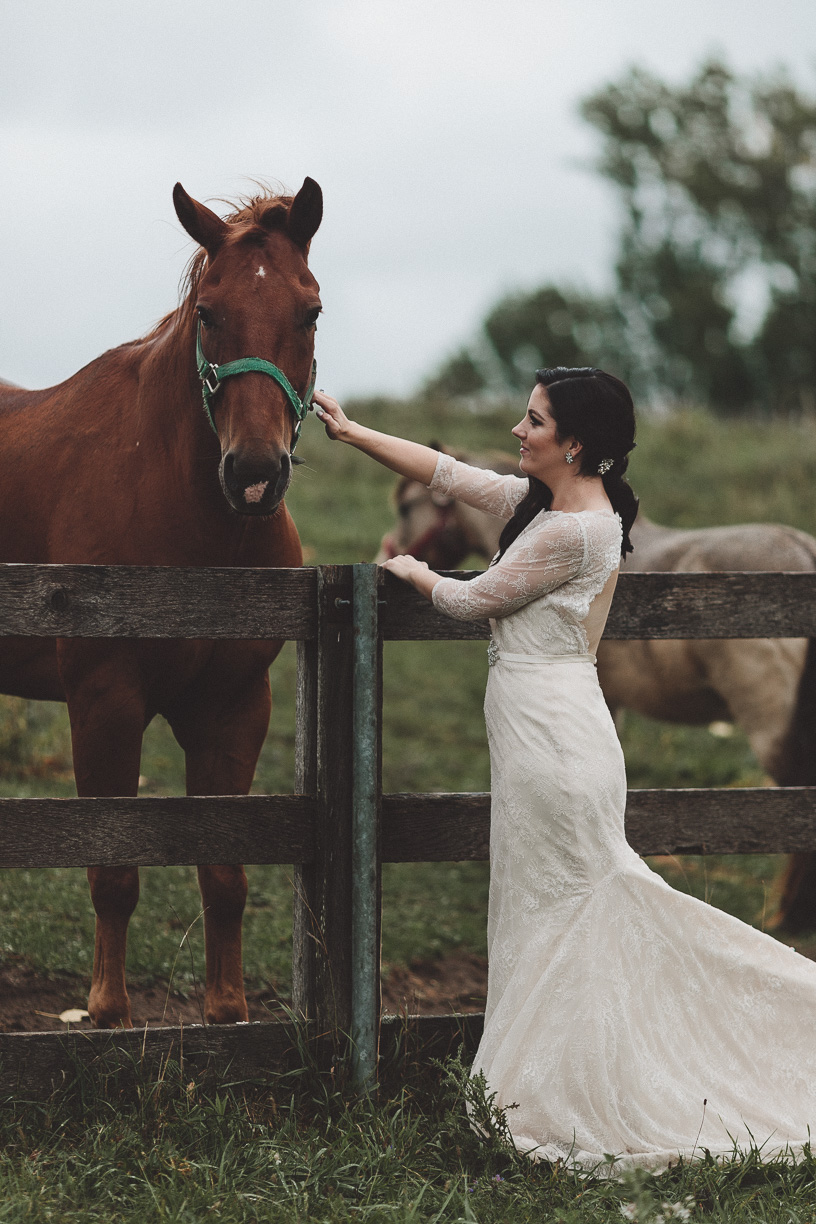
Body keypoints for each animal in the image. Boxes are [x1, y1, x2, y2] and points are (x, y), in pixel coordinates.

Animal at [0, 178, 325, 1023]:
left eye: (310, 310)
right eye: (207, 311)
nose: (253, 472)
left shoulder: (233, 708)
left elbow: (224, 873)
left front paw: (226, 1012)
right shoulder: (105, 701)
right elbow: (113, 870)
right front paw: (107, 1012)